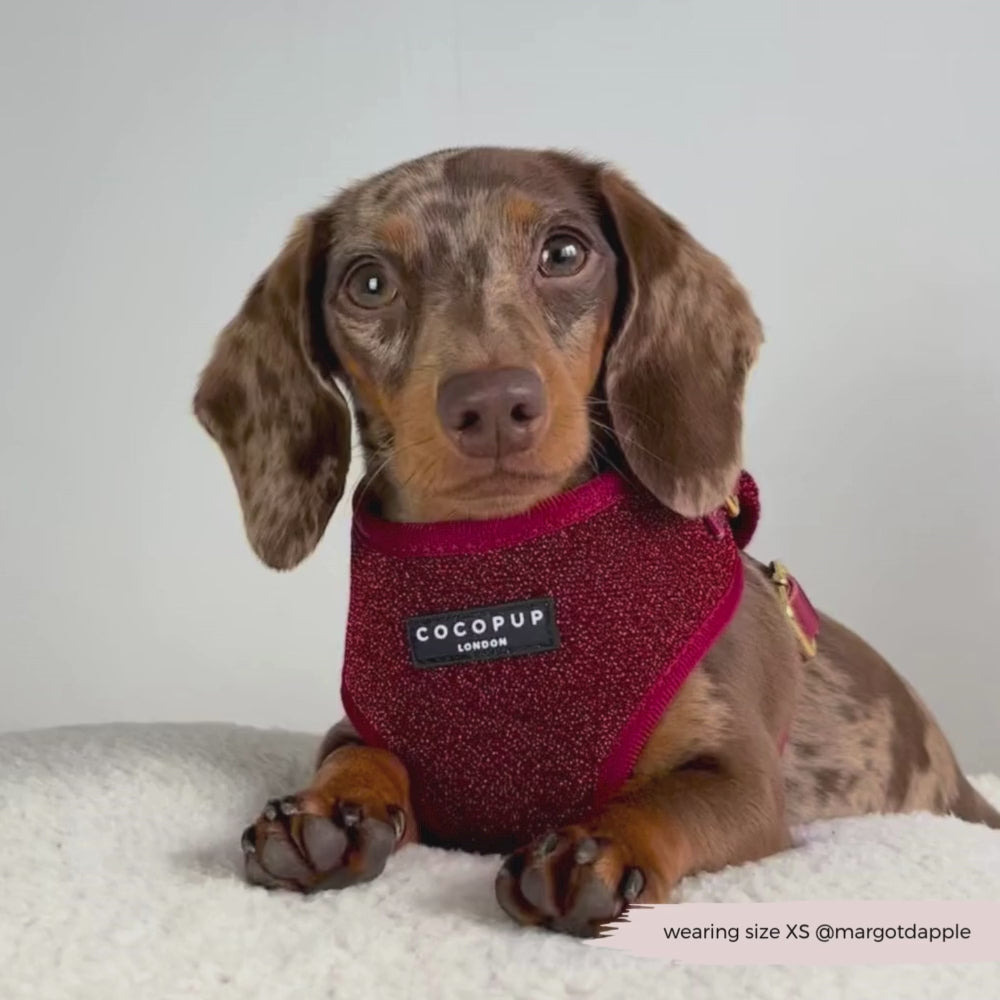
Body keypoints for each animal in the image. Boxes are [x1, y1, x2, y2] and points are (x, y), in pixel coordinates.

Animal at [191, 145, 996, 932]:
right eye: (368, 282)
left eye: (564, 251)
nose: (492, 404)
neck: (498, 569)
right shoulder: (363, 734)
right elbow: (354, 756)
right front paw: (331, 806)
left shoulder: (745, 778)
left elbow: (664, 799)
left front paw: (599, 844)